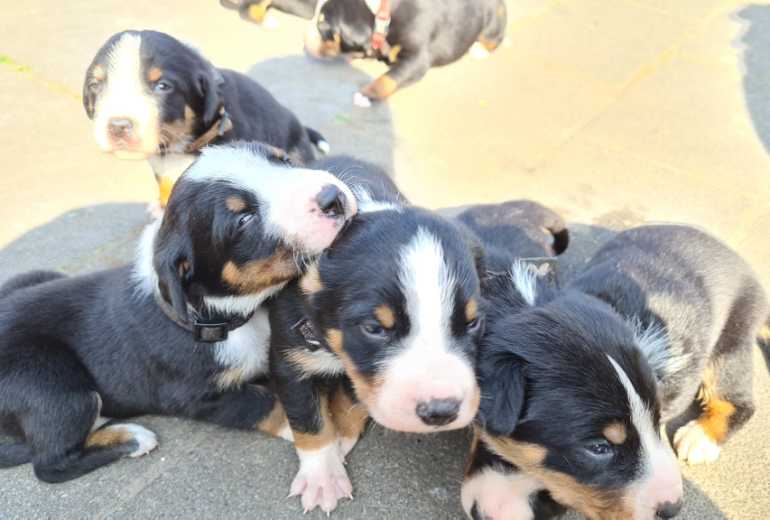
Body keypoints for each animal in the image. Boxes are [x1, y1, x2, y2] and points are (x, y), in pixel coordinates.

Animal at [0, 142, 356, 484]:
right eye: (243, 220)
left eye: (283, 160)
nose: (333, 197)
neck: (229, 317)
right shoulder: (196, 396)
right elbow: (267, 404)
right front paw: (322, 437)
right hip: (54, 385)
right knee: (51, 463)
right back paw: (132, 438)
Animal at [304, 0, 508, 104]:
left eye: (323, 27)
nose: (305, 42)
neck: (382, 17)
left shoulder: (417, 59)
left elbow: (389, 78)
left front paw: (367, 94)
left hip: (492, 22)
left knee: (493, 39)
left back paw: (479, 50)